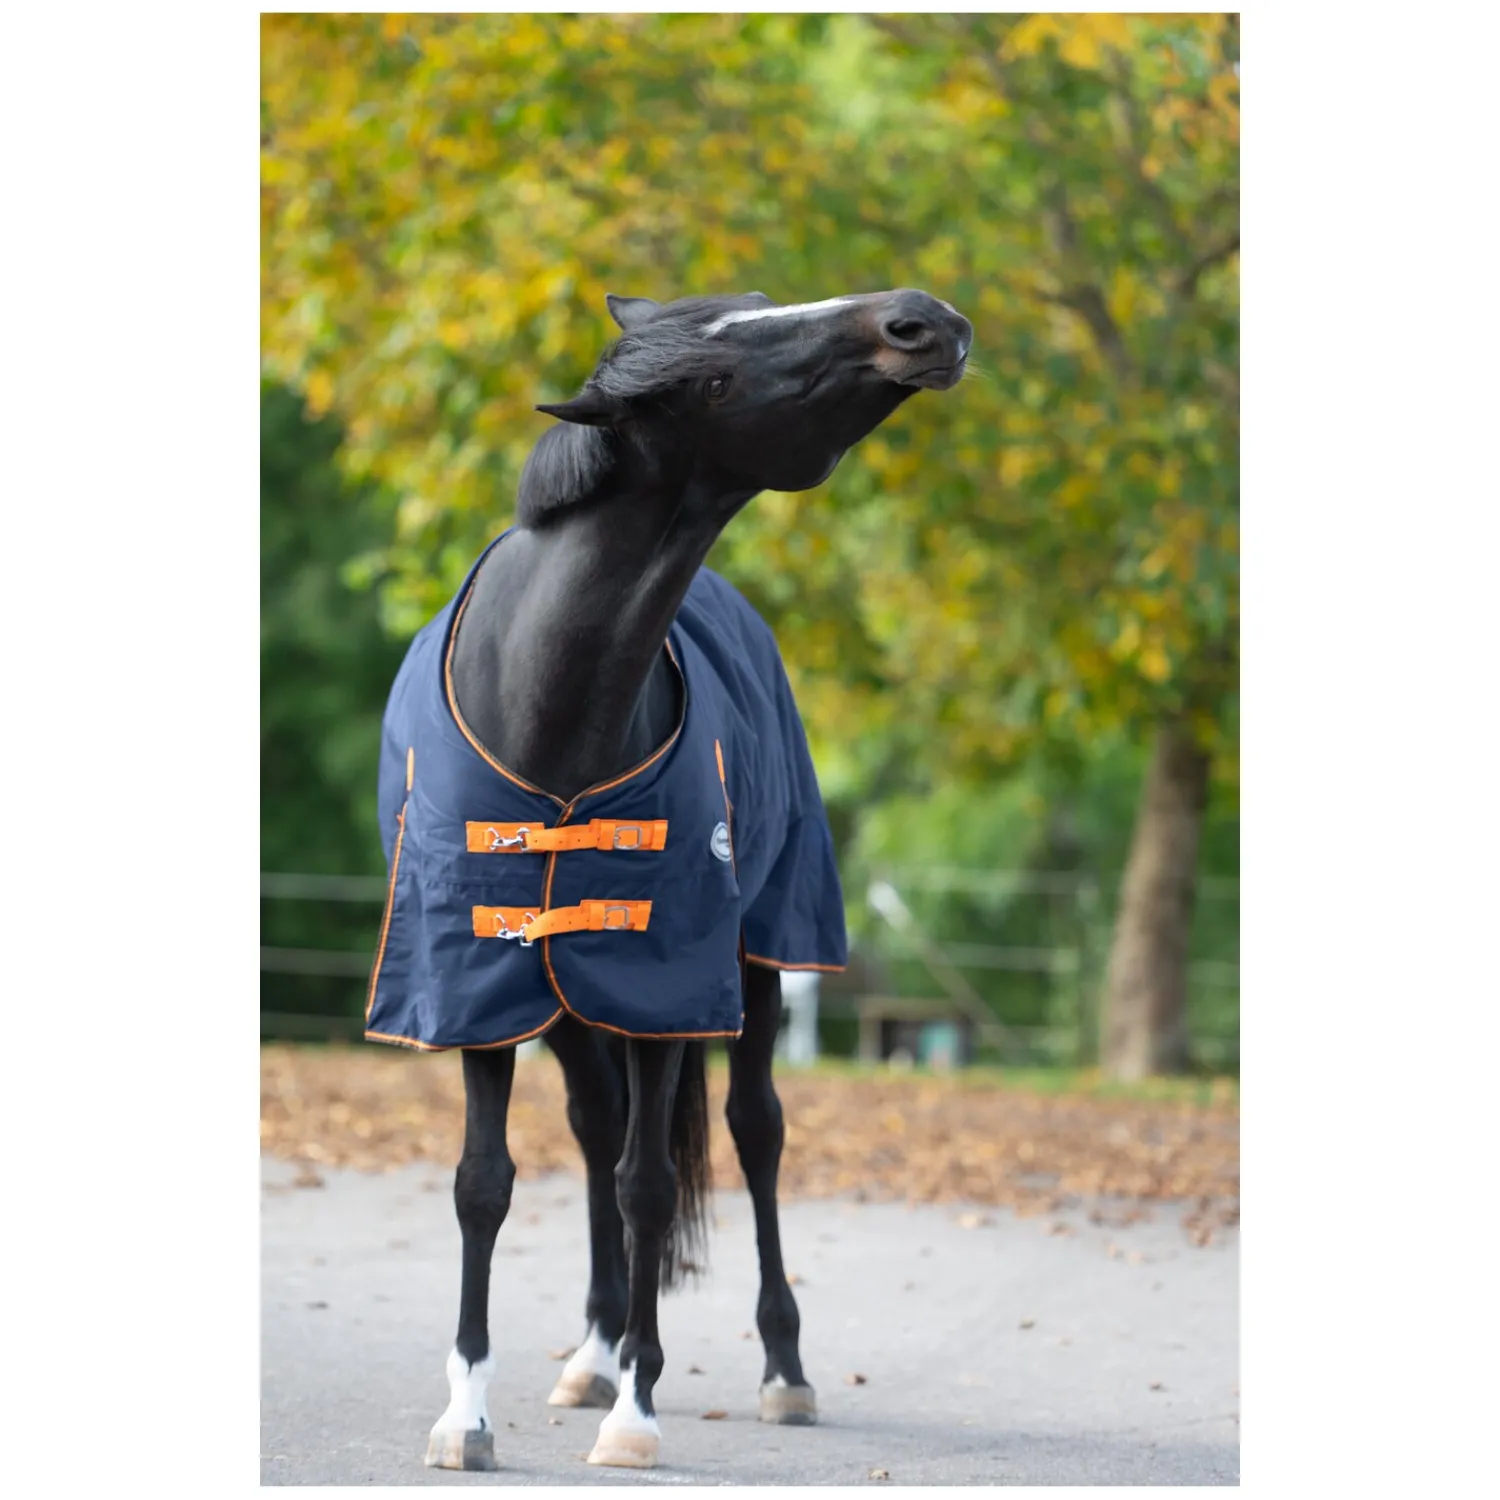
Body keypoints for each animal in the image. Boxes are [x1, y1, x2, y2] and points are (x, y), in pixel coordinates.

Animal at [362, 286, 973, 1471]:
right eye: (714, 378)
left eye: (758, 309)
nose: (919, 319)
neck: (544, 698)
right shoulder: (475, 984)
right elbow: (485, 1185)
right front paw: (468, 1416)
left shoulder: (664, 978)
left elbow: (651, 1186)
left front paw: (638, 1420)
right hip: (564, 999)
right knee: (597, 1130)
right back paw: (595, 1352)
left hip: (756, 960)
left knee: (752, 1132)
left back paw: (780, 1371)